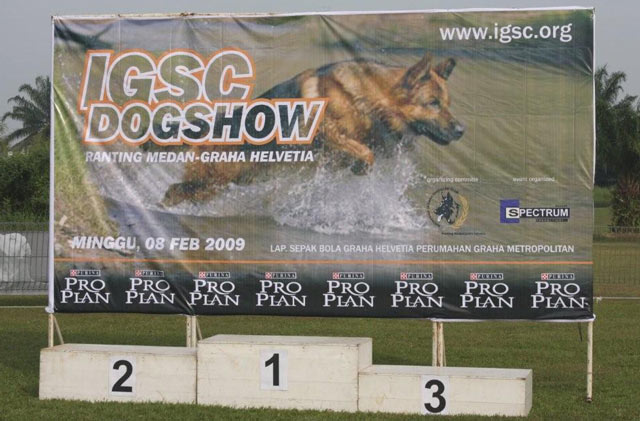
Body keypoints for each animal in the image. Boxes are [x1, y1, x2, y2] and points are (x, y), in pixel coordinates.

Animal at [162, 53, 464, 206]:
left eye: (448, 104)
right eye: (433, 103)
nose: (462, 129)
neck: (372, 97)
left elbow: (366, 150)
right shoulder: (325, 133)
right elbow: (364, 153)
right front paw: (359, 166)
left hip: (227, 182)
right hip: (210, 181)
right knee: (174, 192)